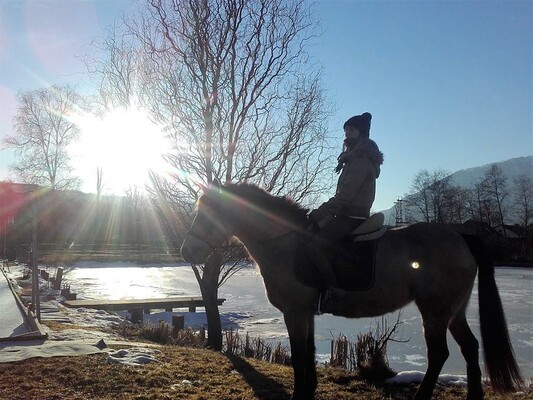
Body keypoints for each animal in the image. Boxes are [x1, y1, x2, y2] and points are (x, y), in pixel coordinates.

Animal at [181, 182, 520, 400]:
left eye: (207, 213)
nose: (186, 252)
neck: (285, 241)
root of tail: (460, 237)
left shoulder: (294, 312)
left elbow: (300, 354)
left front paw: (299, 394)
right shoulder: (306, 313)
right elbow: (308, 351)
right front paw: (309, 391)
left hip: (434, 311)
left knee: (439, 354)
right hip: (453, 311)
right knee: (470, 348)